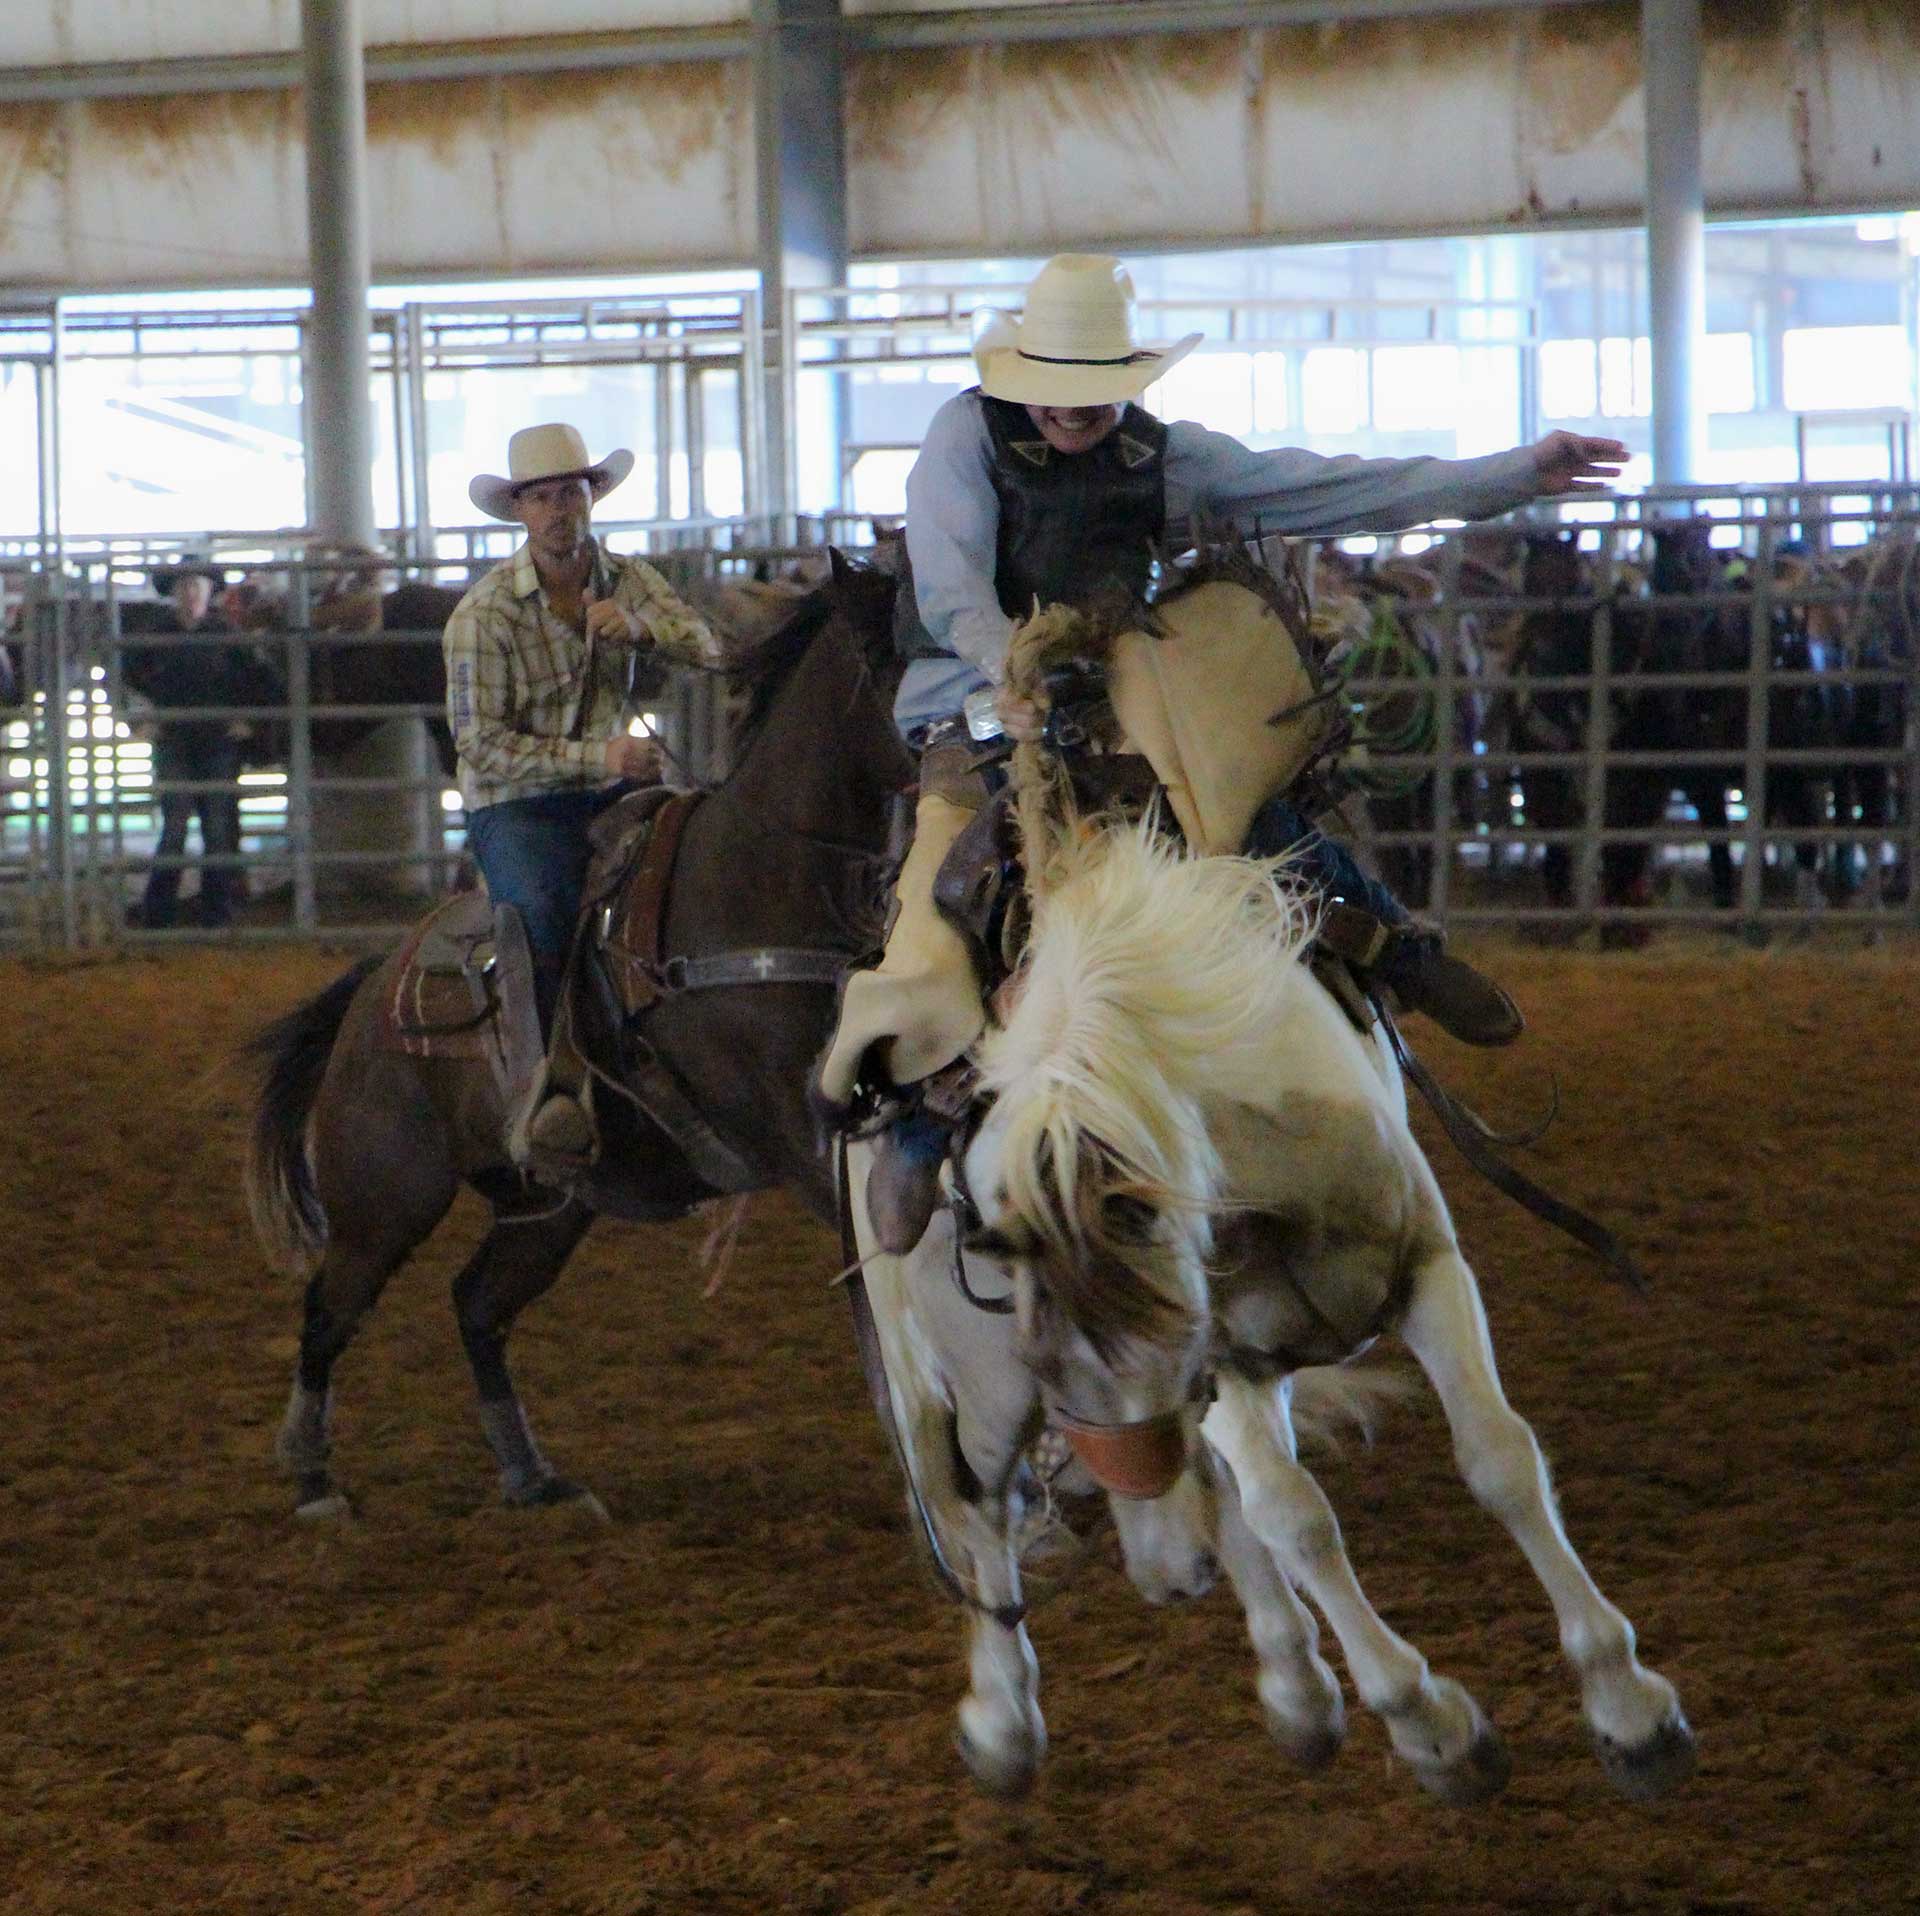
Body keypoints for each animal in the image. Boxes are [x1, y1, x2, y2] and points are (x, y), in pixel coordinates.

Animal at [247, 560, 913, 1520]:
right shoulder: (799, 1132)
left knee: (477, 1305)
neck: (758, 881)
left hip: (548, 1207)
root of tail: (373, 992)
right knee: (329, 1308)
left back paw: (532, 1477)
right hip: (385, 1200)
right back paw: (311, 1476)